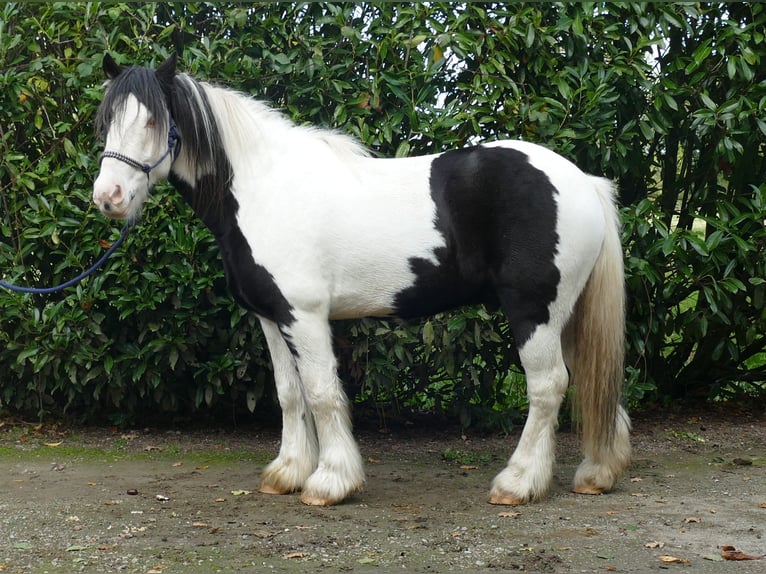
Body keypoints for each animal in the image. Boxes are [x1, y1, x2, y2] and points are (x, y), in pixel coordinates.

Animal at [93, 51, 632, 506]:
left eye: (153, 121)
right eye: (108, 122)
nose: (108, 196)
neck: (264, 187)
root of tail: (584, 182)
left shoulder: (305, 316)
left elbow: (321, 393)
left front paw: (329, 482)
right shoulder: (272, 317)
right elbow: (289, 394)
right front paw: (288, 472)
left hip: (533, 310)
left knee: (548, 386)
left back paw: (518, 483)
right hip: (566, 314)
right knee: (589, 382)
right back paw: (596, 473)